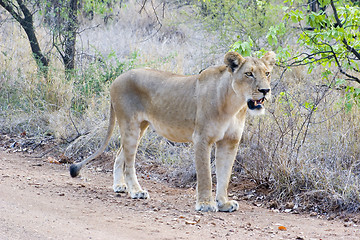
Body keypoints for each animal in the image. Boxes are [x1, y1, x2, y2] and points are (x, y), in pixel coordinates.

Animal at [69, 51, 276, 212]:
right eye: (249, 74)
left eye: (267, 73)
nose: (265, 90)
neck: (234, 104)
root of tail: (117, 78)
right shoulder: (202, 138)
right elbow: (206, 175)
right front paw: (206, 204)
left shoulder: (230, 142)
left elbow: (225, 175)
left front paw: (224, 203)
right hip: (130, 125)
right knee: (129, 163)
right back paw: (136, 191)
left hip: (140, 126)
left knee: (121, 155)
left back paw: (120, 186)